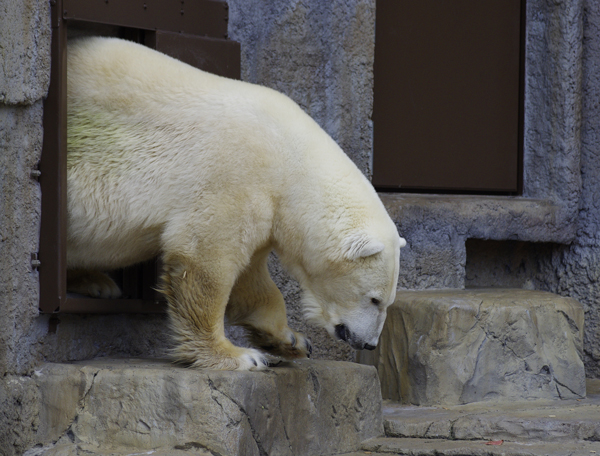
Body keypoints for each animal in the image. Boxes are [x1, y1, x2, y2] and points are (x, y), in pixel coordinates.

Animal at [67, 36, 408, 370]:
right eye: (374, 299)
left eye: (388, 301)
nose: (368, 343)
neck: (289, 156)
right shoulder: (235, 174)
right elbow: (205, 259)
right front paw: (237, 355)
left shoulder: (267, 206)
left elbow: (252, 278)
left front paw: (290, 340)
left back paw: (98, 283)